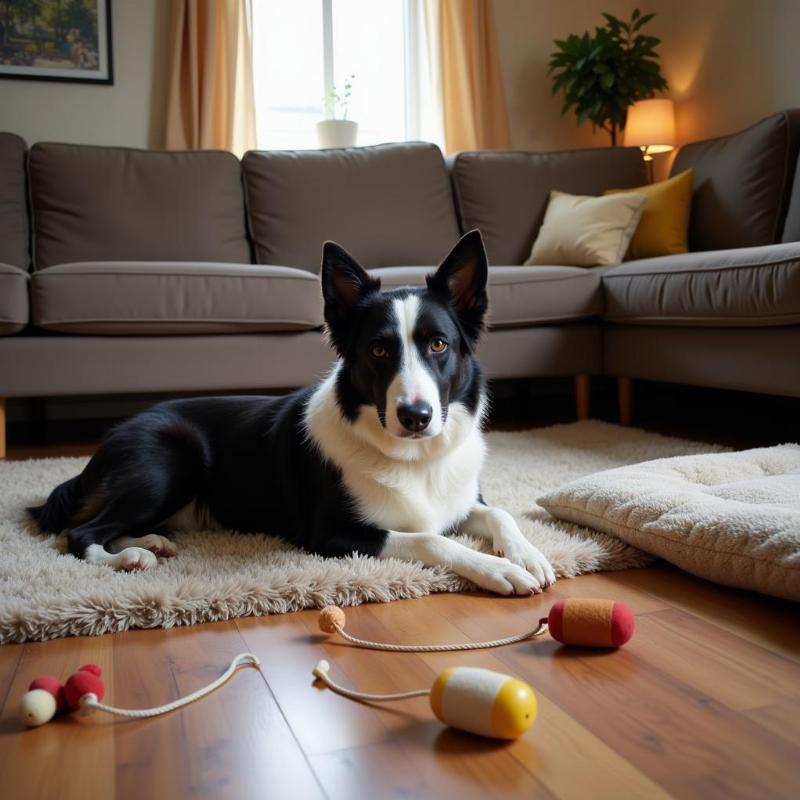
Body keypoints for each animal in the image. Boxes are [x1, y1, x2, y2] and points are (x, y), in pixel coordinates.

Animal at [31, 231, 556, 592]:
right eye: (379, 350)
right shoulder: (333, 535)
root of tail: (112, 438)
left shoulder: (462, 501)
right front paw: (497, 568)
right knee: (79, 532)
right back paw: (126, 558)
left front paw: (527, 555)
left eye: (439, 344)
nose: (416, 416)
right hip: (168, 463)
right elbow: (433, 539)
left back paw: (148, 542)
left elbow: (500, 513)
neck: (413, 460)